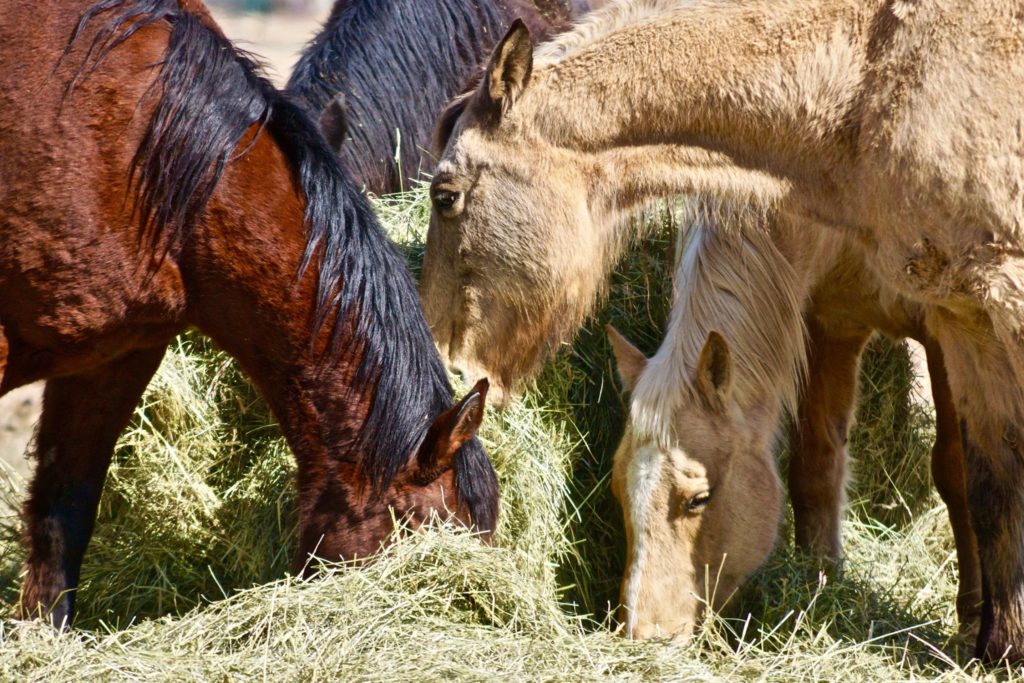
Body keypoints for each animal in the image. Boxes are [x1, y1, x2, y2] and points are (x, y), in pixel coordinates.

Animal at [422, 0, 1024, 658]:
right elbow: (821, 465)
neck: (866, 81)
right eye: (618, 492)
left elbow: (969, 474)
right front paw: (820, 583)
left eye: (445, 196)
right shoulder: (832, 321)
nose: (448, 359)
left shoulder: (965, 319)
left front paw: (983, 630)